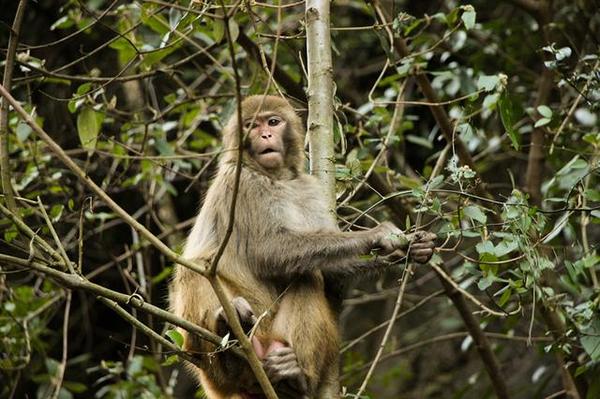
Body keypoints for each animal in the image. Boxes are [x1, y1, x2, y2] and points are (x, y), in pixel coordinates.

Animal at [169, 94, 436, 399]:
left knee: (306, 279)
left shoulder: (309, 187)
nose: (264, 135)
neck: (277, 177)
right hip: (210, 361)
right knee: (195, 270)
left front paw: (412, 250)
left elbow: (330, 271)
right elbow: (268, 252)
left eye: (273, 122)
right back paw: (229, 344)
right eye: (251, 125)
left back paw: (294, 377)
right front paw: (378, 235)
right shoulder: (242, 183)